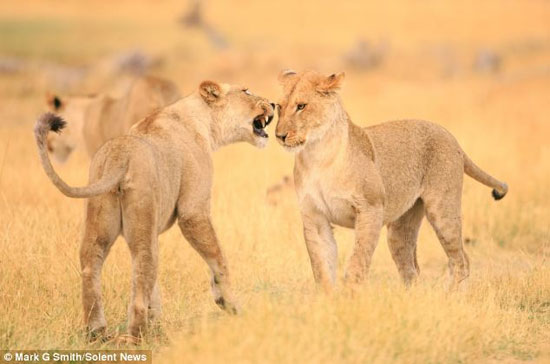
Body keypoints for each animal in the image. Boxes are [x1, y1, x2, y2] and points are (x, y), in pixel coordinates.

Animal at [34, 81, 276, 342]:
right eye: (246, 91)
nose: (274, 103)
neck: (204, 120)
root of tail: (120, 155)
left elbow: (156, 284)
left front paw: (157, 319)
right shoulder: (193, 210)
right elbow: (218, 257)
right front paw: (230, 304)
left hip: (100, 220)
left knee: (93, 266)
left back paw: (97, 332)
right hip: (143, 218)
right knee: (142, 270)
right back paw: (136, 335)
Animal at [276, 69, 508, 292]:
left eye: (301, 106)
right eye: (279, 106)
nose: (279, 135)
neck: (317, 154)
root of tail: (450, 136)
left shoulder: (371, 208)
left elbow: (358, 259)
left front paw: (351, 296)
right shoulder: (314, 215)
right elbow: (321, 265)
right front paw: (328, 298)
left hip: (442, 210)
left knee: (460, 260)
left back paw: (451, 297)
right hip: (400, 229)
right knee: (412, 270)